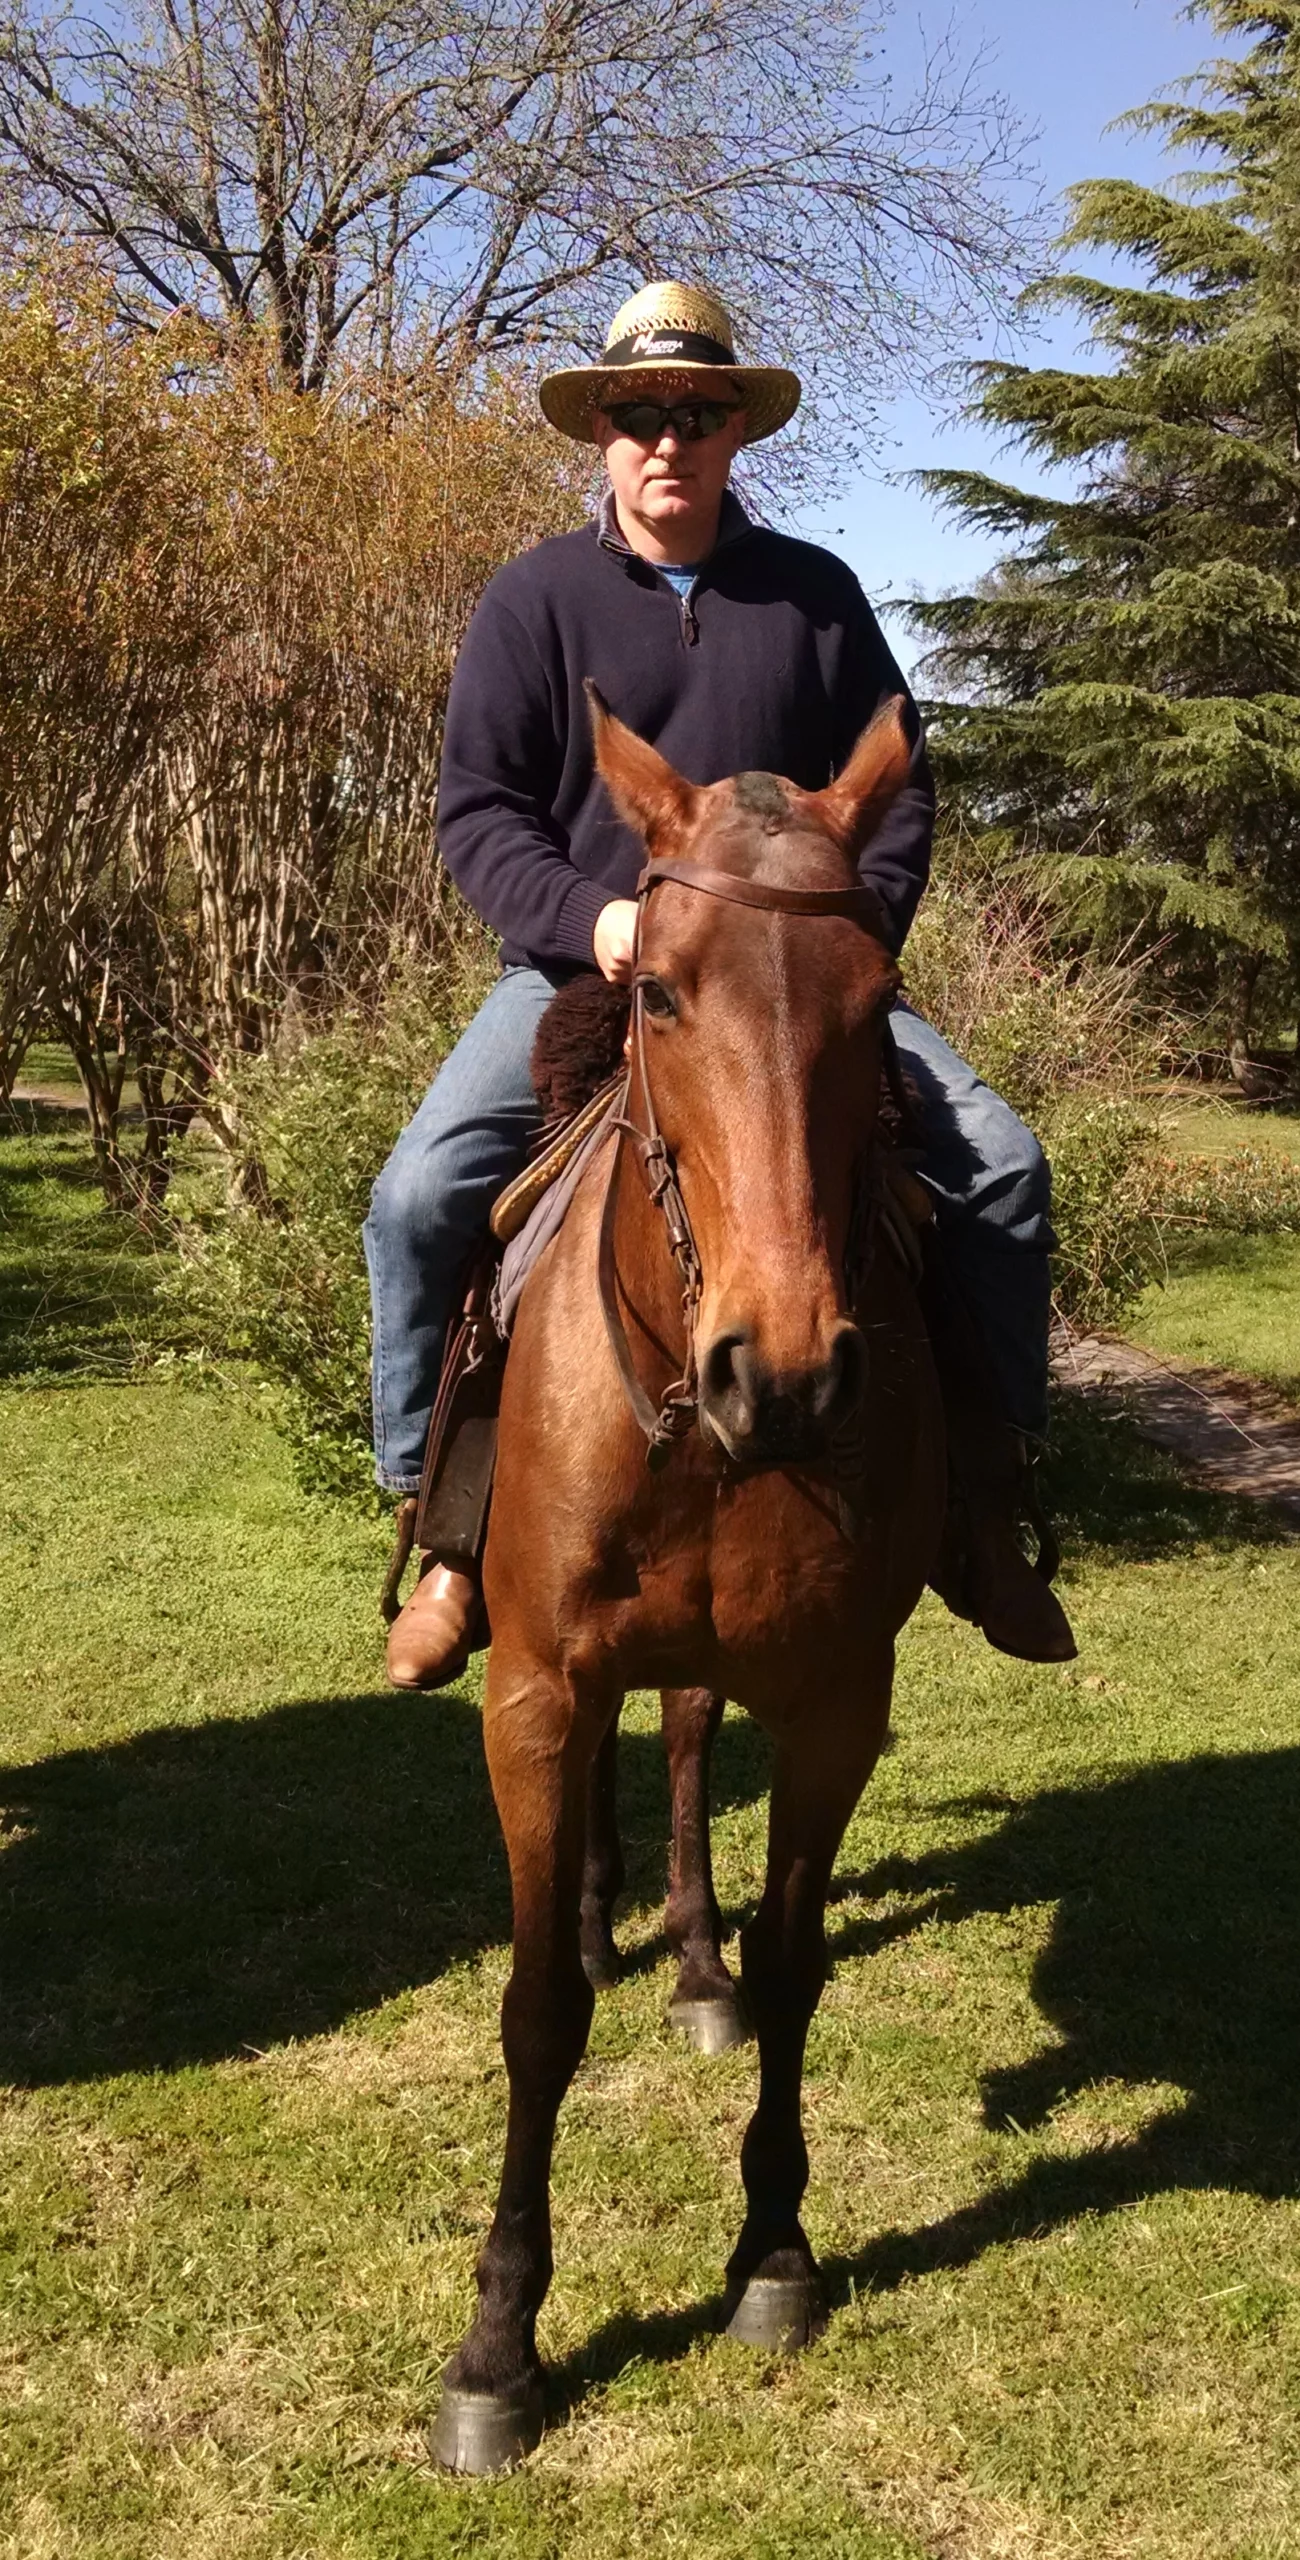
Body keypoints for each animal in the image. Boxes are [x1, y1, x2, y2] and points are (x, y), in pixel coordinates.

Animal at [432, 692, 946, 2474]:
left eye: (877, 1002)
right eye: (658, 987)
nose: (779, 1373)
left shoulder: (838, 1700)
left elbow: (798, 1966)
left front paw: (775, 2251)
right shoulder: (531, 1687)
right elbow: (532, 2013)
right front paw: (498, 2346)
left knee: (678, 1745)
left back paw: (687, 1957)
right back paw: (604, 1930)